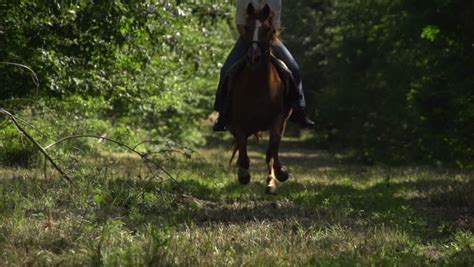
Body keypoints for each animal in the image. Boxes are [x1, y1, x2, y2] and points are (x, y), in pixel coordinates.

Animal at [227, 3, 290, 195]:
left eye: (268, 29)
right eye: (247, 27)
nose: (253, 57)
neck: (258, 86)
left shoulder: (278, 119)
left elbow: (271, 151)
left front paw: (279, 174)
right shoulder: (237, 122)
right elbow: (243, 150)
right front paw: (243, 174)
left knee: (272, 152)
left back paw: (272, 180)